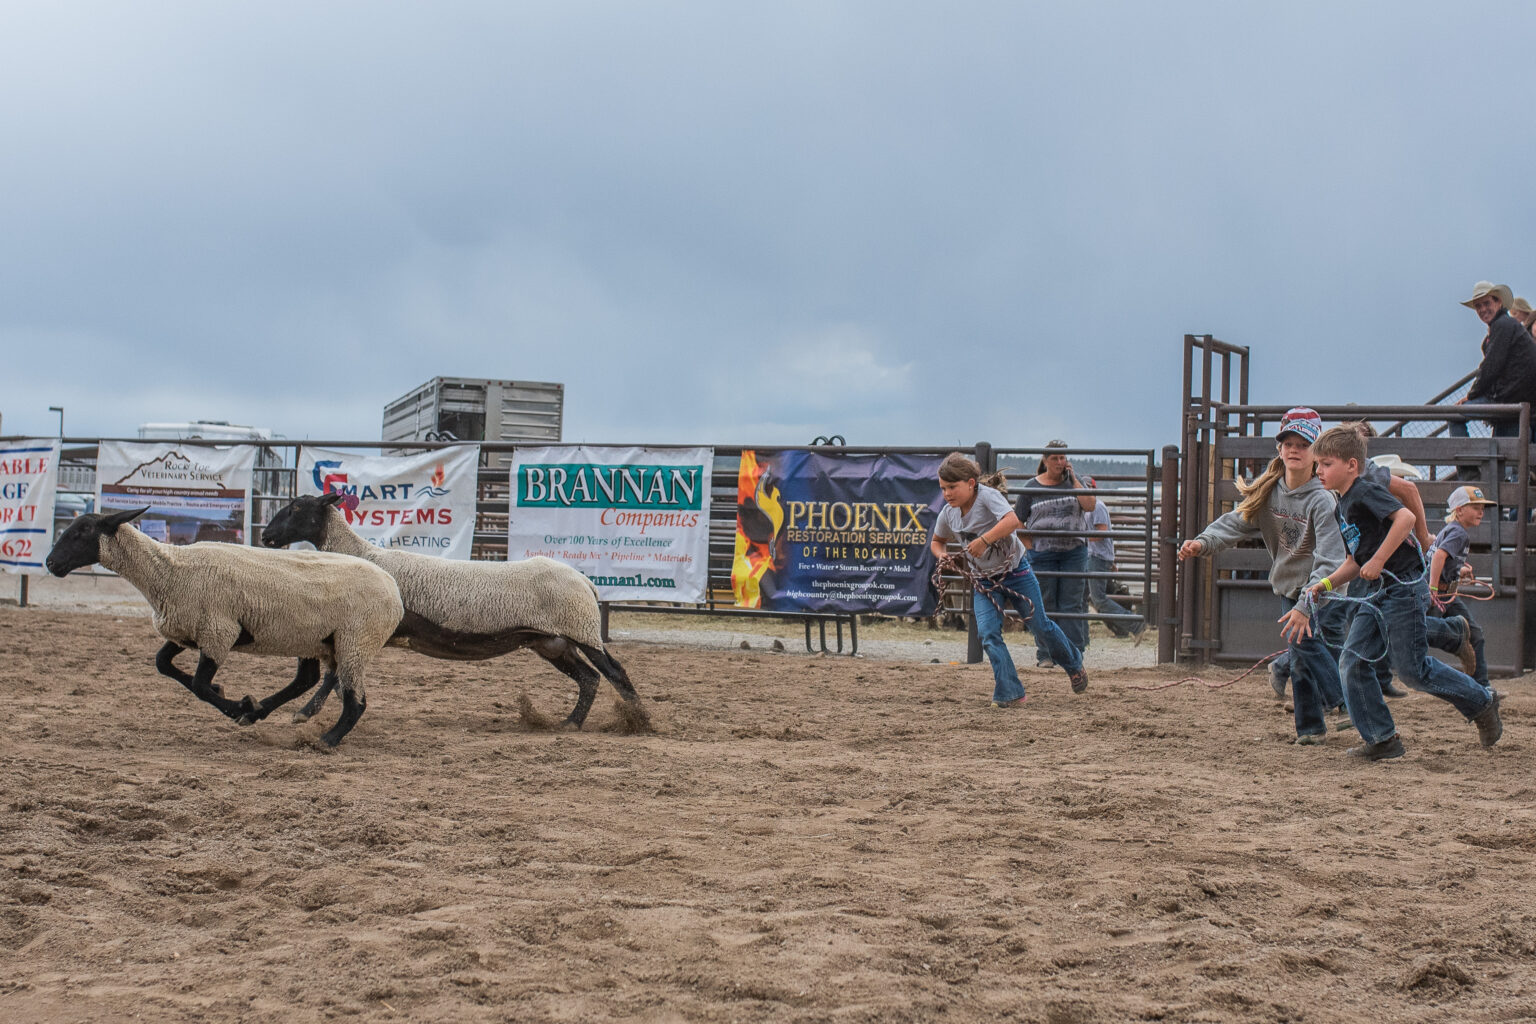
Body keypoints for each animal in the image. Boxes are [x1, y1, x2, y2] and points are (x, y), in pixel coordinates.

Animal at [47, 509, 405, 749]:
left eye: (81, 531)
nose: (50, 563)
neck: (167, 571)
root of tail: (394, 591)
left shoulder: (219, 631)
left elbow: (200, 685)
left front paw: (236, 704)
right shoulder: (187, 630)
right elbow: (164, 665)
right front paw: (239, 703)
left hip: (354, 641)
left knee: (355, 702)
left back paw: (327, 739)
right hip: (313, 639)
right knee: (306, 679)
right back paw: (260, 712)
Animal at [261, 494, 645, 727]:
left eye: (297, 508)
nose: (265, 537)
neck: (363, 556)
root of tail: (586, 582)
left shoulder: (363, 628)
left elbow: (333, 675)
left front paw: (304, 713)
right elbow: (335, 674)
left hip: (581, 629)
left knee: (615, 672)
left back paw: (641, 720)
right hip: (552, 643)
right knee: (589, 678)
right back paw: (571, 722)